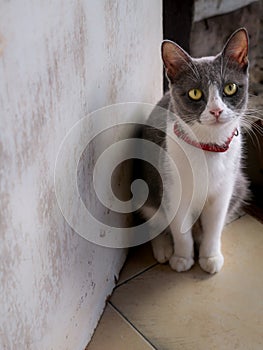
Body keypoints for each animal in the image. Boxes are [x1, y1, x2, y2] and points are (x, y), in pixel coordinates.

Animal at [139, 28, 251, 274]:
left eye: (230, 87)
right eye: (195, 93)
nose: (216, 110)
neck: (208, 147)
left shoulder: (224, 190)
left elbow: (214, 225)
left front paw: (210, 256)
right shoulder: (172, 187)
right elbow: (180, 230)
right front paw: (182, 257)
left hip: (239, 184)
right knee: (154, 219)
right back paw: (163, 248)